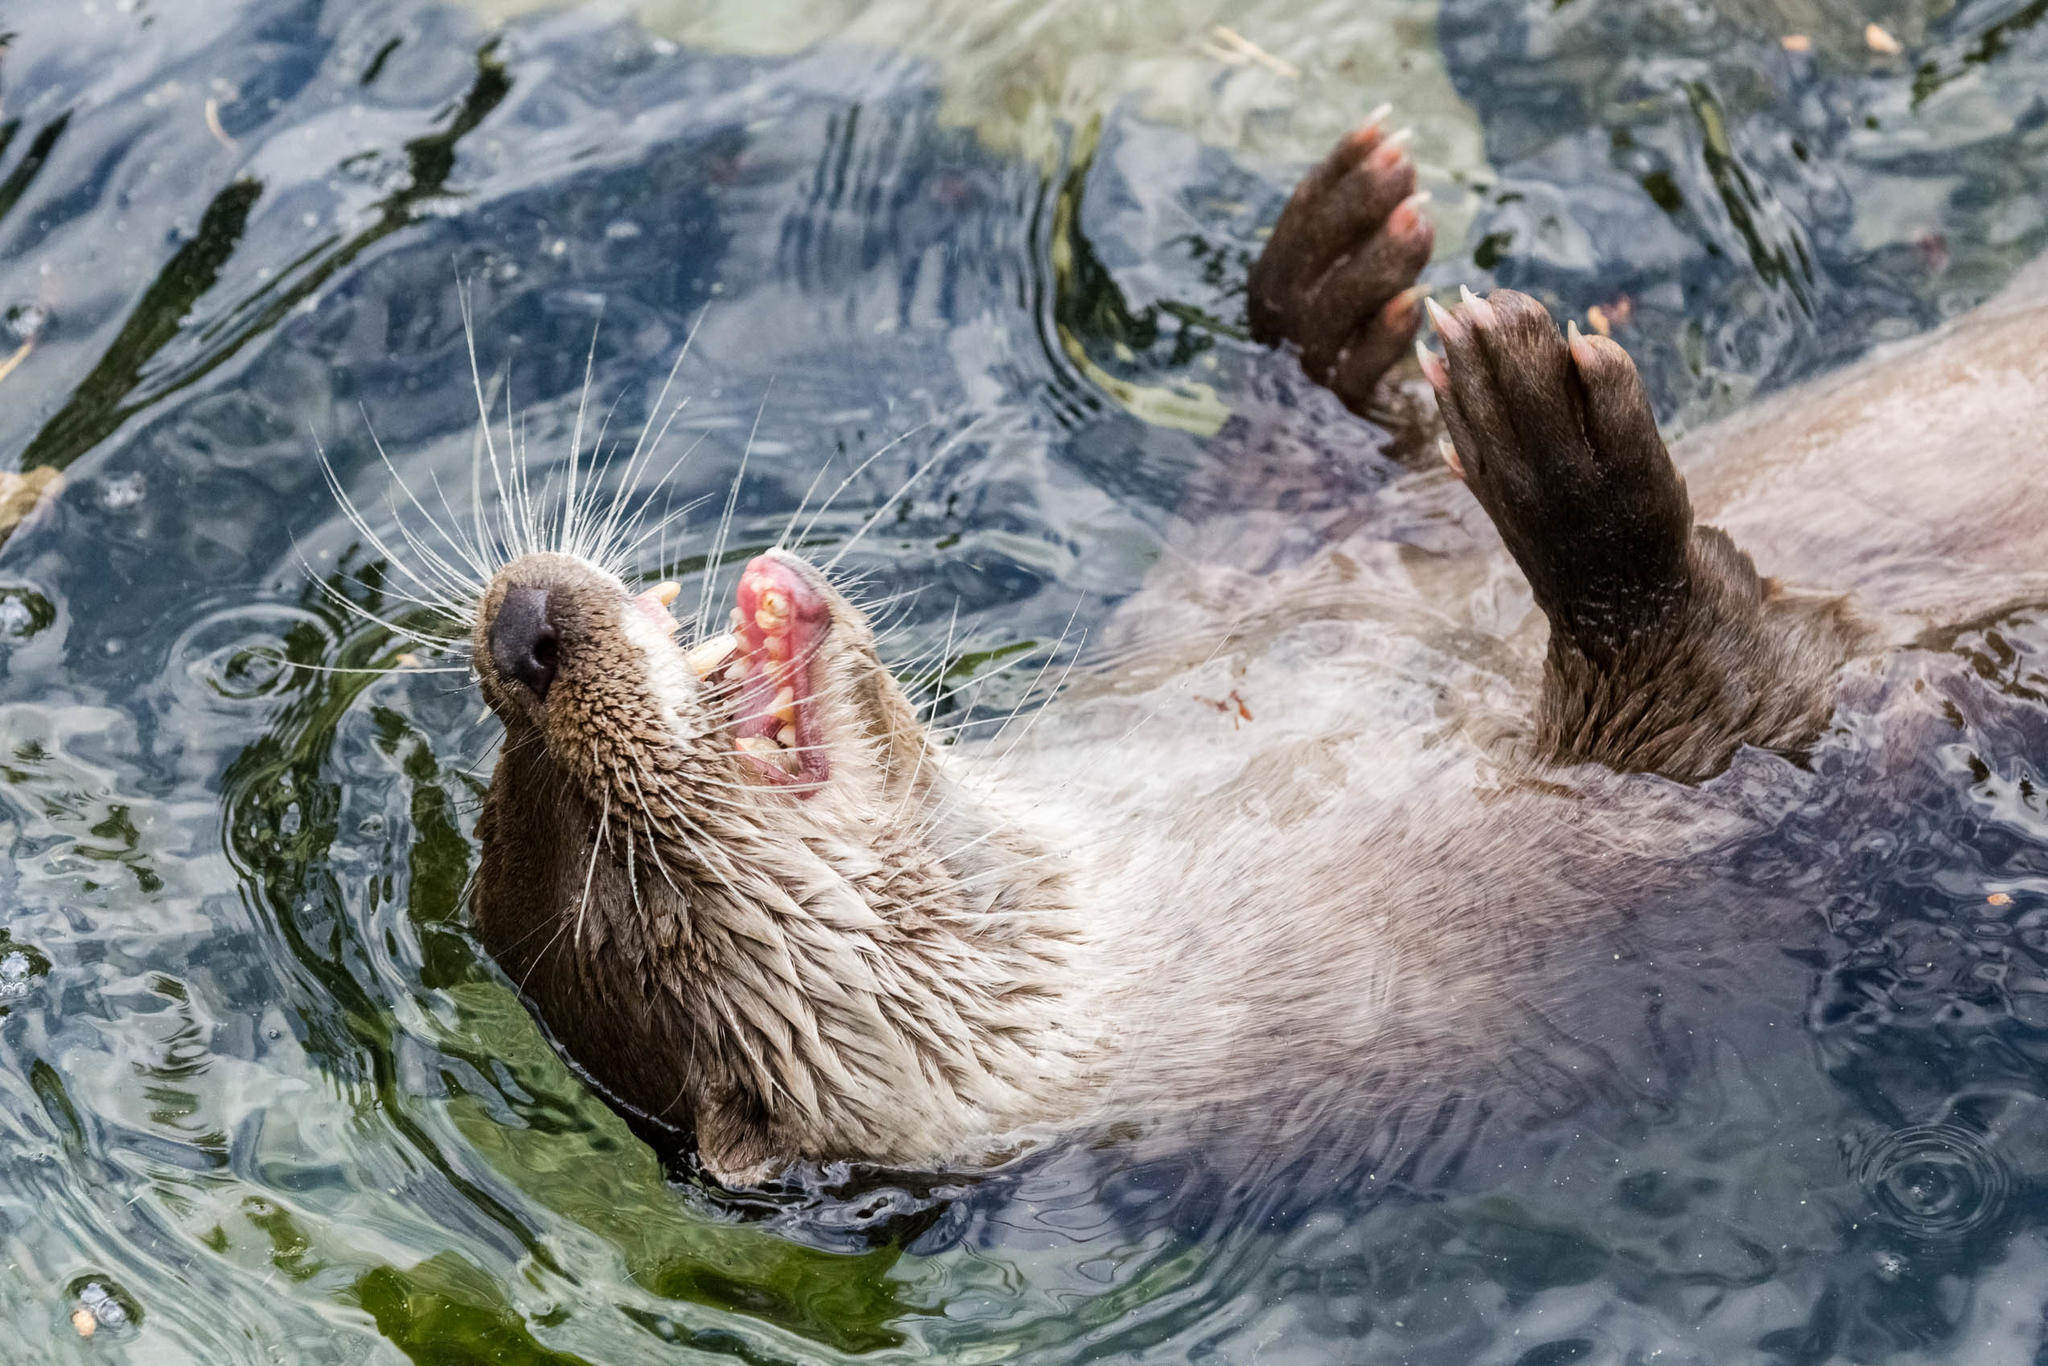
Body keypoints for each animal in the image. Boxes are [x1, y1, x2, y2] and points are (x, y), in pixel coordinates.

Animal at [456, 116, 2048, 1185]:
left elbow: (1287, 483)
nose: (518, 634)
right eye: (621, 879)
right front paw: (1565, 465)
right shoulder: (1633, 859)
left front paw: (1324, 297)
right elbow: (1711, 690)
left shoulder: (1237, 604)